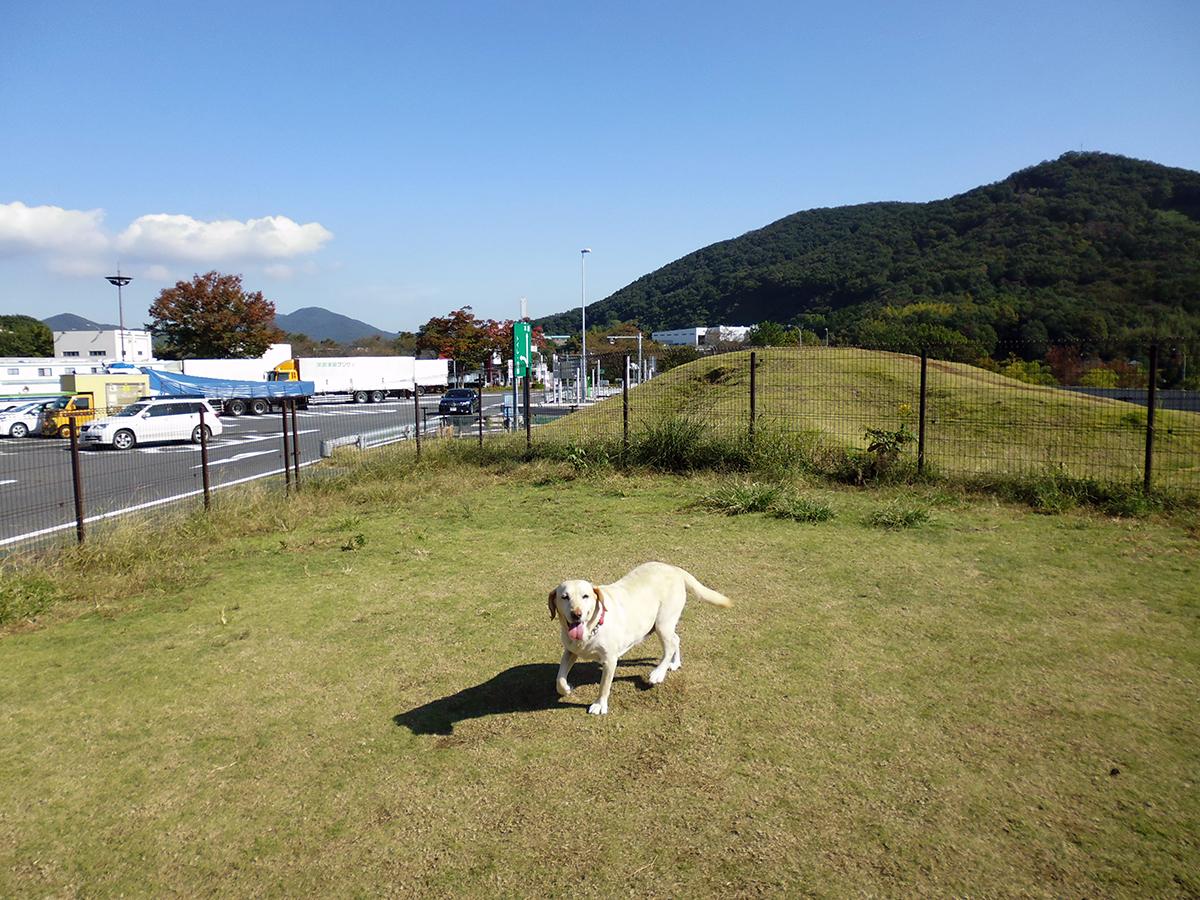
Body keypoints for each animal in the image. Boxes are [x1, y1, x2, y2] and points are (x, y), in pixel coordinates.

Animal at [547, 564, 729, 720]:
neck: (592, 629)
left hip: (662, 622)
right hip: (663, 625)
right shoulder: (570, 651)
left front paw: (599, 705)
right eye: (564, 597)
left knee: (670, 646)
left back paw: (658, 673)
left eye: (585, 596)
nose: (576, 614)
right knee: (676, 639)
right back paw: (675, 663)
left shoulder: (610, 660)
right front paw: (566, 688)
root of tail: (673, 568)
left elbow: (604, 686)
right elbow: (559, 679)